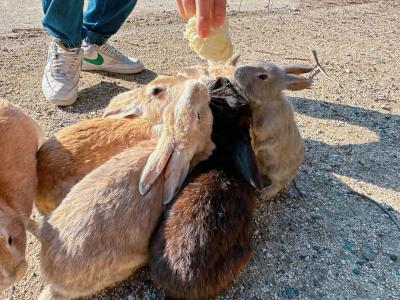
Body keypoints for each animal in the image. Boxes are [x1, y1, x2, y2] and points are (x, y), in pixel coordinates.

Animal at [233, 59, 314, 198]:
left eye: (263, 77)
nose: (236, 71)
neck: (268, 101)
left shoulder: (271, 135)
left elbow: (261, 144)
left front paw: (253, 148)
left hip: (278, 173)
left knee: (277, 185)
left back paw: (263, 194)